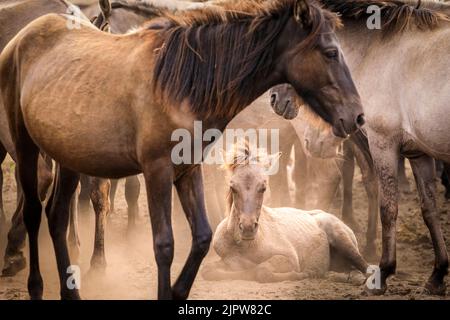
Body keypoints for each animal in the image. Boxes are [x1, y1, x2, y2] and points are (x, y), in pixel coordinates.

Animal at [202, 143, 368, 282]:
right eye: (233, 187)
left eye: (263, 187)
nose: (248, 228)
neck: (243, 245)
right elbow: (209, 270)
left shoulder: (288, 258)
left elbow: (262, 270)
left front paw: (303, 274)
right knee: (352, 271)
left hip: (343, 241)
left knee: (366, 268)